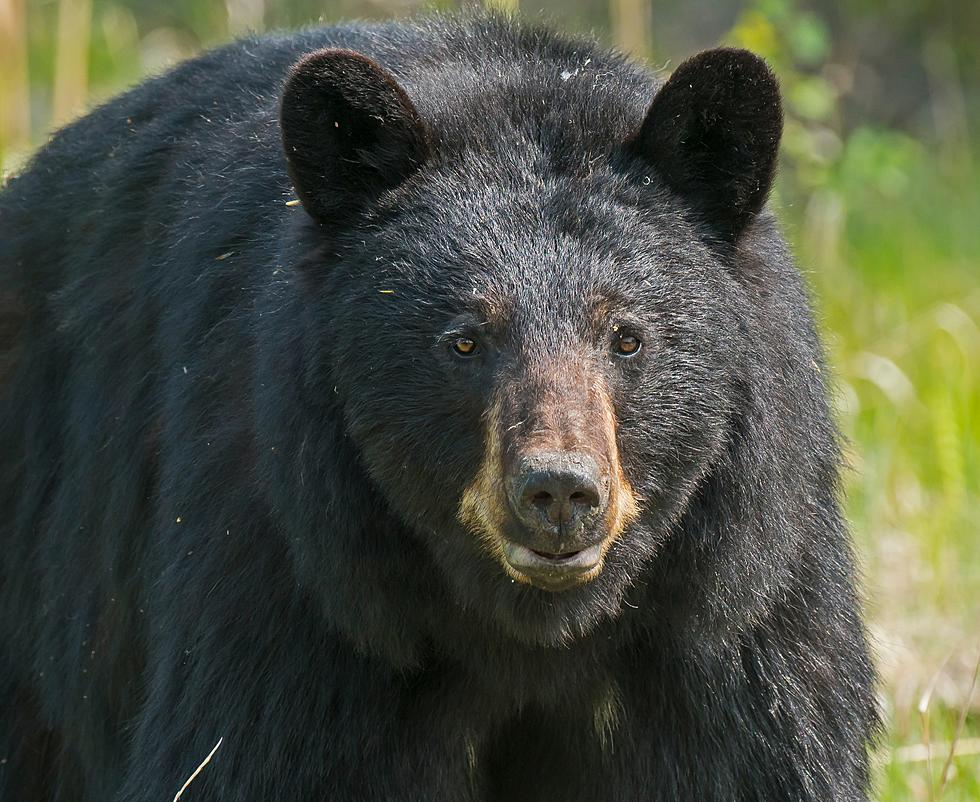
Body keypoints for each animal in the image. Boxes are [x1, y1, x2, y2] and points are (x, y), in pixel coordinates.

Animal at [0, 12, 872, 800]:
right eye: (464, 341)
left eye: (627, 338)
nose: (559, 491)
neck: (529, 629)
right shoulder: (295, 578)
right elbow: (245, 756)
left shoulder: (733, 612)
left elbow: (762, 757)